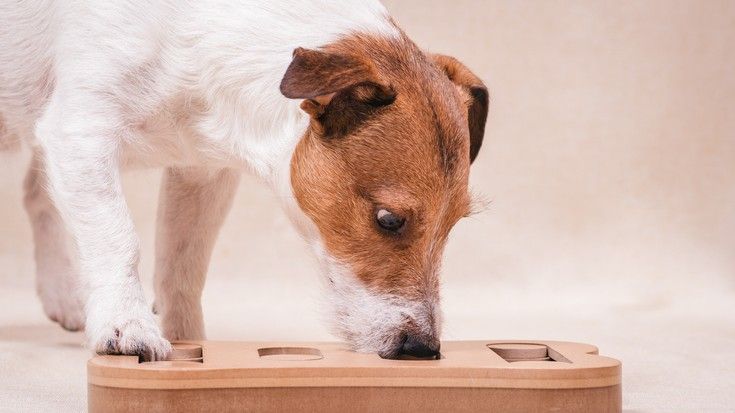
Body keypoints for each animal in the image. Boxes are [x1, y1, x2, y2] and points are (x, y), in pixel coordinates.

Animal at [0, 0, 488, 358]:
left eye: (454, 225)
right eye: (388, 219)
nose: (422, 349)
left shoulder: (201, 174)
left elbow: (183, 265)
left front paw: (189, 341)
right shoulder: (81, 134)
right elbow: (118, 237)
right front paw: (126, 326)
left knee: (37, 194)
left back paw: (63, 295)